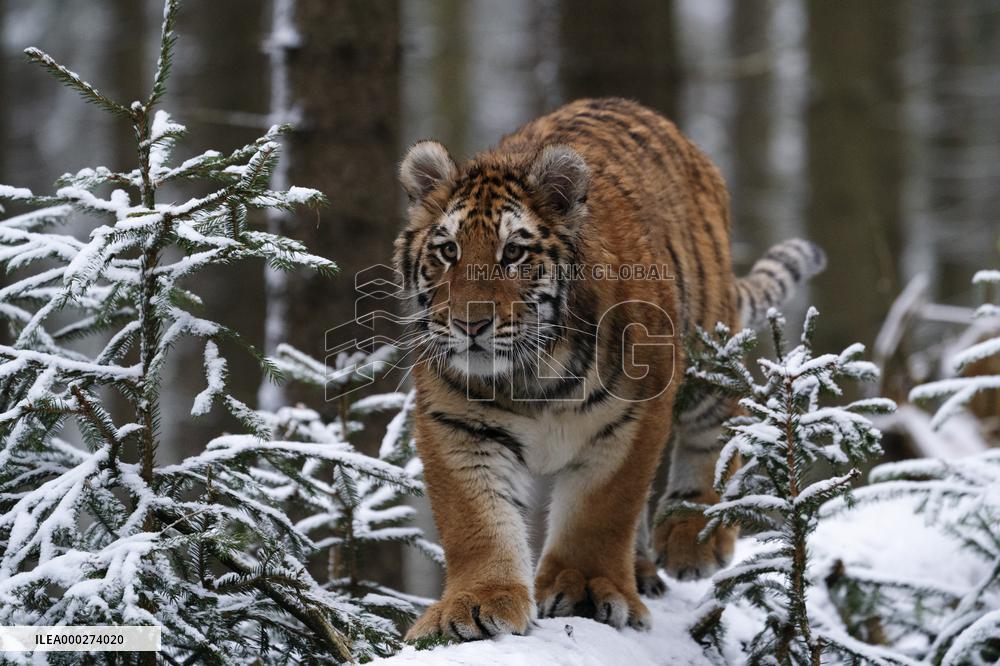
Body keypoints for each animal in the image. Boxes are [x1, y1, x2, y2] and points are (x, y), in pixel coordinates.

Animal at [393, 97, 825, 640]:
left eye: (513, 252)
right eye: (448, 250)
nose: (470, 324)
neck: (529, 372)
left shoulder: (634, 413)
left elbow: (602, 510)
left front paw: (583, 587)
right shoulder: (457, 421)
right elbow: (476, 520)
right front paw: (476, 602)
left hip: (707, 342)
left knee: (721, 422)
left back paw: (692, 536)